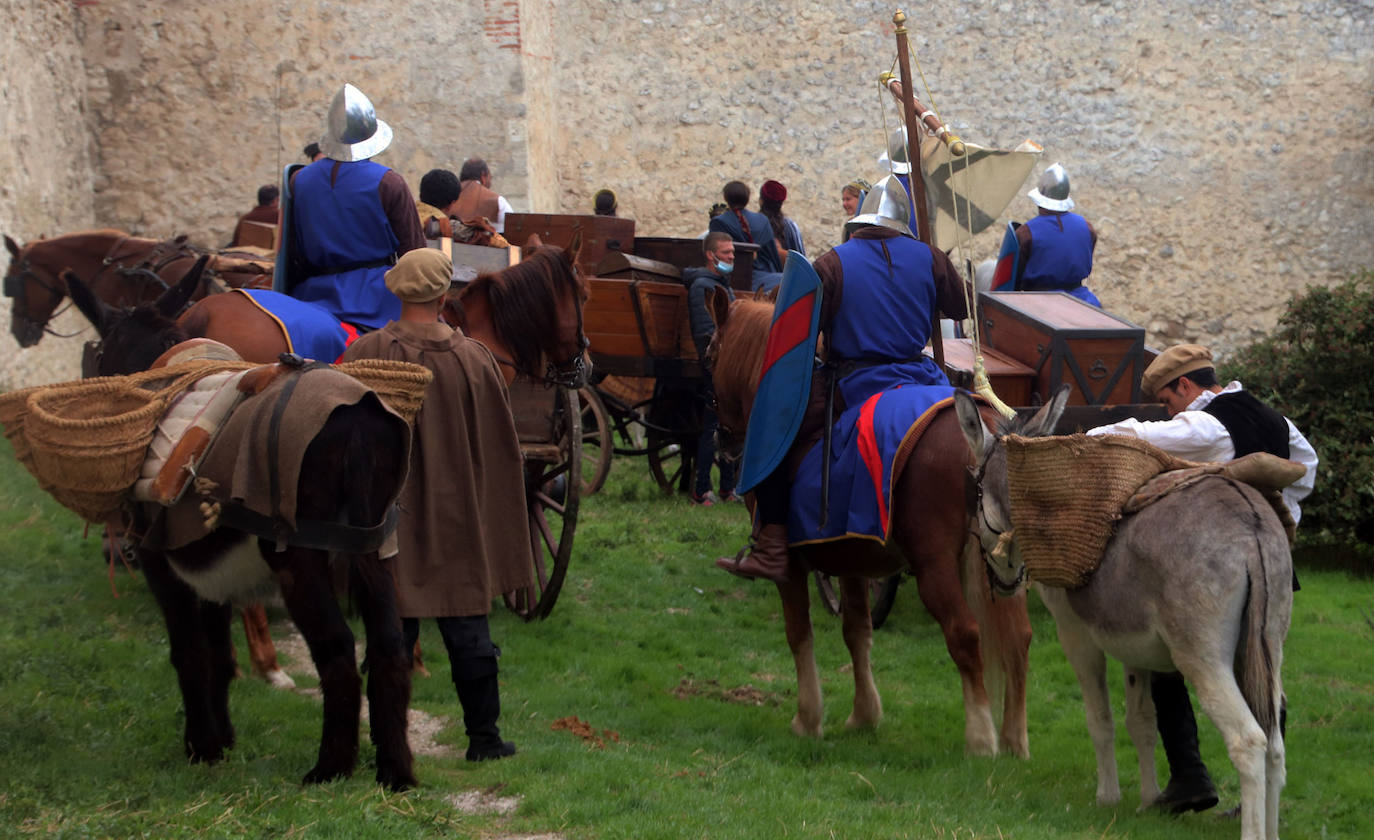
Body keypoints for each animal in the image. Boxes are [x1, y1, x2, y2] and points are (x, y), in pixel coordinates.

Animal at [708, 295, 1033, 753]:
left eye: (710, 354)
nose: (724, 440)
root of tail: (984, 440)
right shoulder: (851, 555)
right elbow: (857, 630)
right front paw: (863, 715)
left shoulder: (791, 568)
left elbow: (799, 633)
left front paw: (808, 719)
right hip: (1004, 566)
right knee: (1018, 637)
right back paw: (1015, 739)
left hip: (937, 566)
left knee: (965, 633)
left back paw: (982, 738)